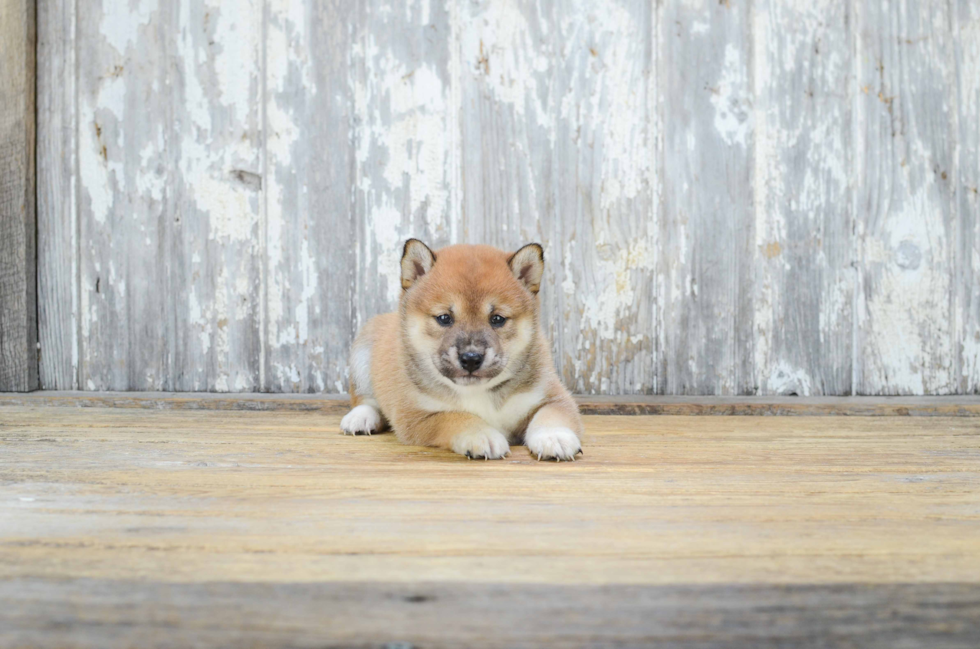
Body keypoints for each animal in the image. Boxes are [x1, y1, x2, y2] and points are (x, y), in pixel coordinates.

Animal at [340, 239, 580, 460]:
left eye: (497, 319)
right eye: (444, 318)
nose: (471, 358)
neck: (478, 392)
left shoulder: (553, 396)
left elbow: (552, 415)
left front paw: (554, 437)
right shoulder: (417, 416)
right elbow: (456, 417)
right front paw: (482, 435)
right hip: (362, 355)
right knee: (364, 399)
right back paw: (360, 418)